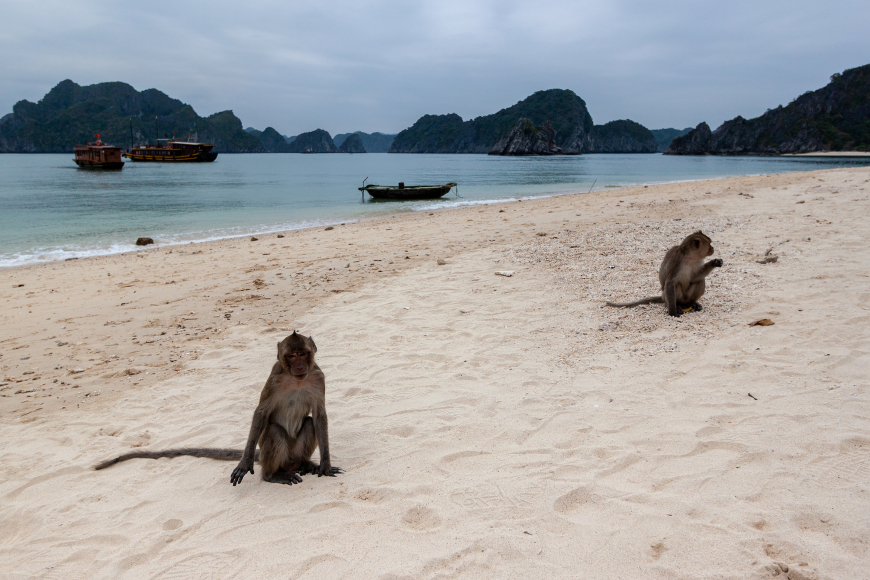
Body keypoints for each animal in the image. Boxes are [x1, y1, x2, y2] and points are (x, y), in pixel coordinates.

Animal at [94, 331, 342, 486]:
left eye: (303, 354)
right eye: (291, 356)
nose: (299, 366)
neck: (296, 380)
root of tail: (287, 462)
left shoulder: (318, 377)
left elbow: (319, 415)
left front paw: (325, 464)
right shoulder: (275, 378)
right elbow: (261, 414)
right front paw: (245, 462)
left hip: (292, 454)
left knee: (309, 423)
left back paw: (305, 464)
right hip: (272, 454)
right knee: (274, 431)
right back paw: (272, 475)